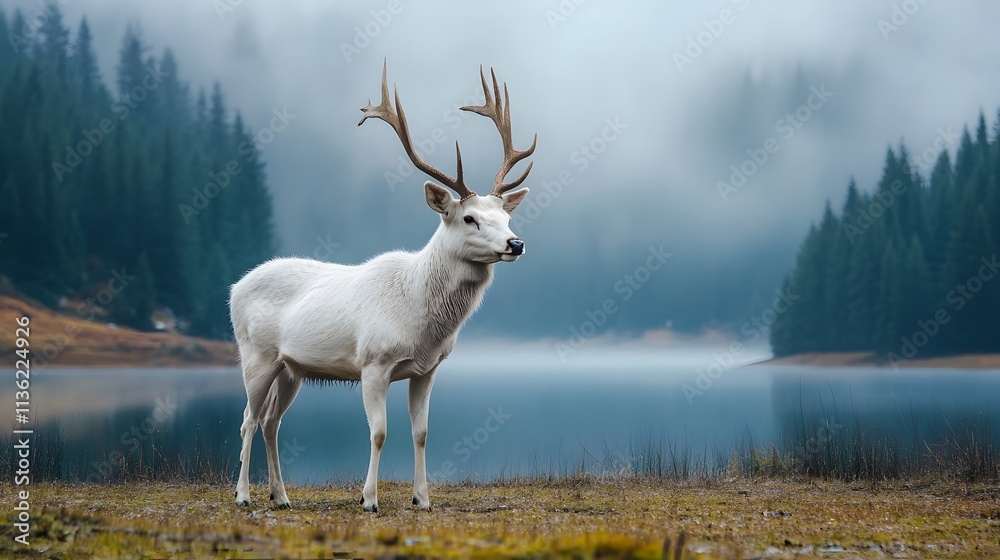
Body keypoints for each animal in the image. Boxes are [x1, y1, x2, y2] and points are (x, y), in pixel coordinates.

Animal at [229, 63, 536, 513]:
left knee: (271, 421)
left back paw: (281, 496)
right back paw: (243, 495)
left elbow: (421, 433)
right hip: (256, 355)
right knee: (248, 420)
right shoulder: (373, 362)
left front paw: (422, 499)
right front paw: (369, 499)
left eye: (505, 217)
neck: (421, 318)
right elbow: (379, 432)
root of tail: (234, 288)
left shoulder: (427, 369)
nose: (516, 243)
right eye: (469, 218)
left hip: (291, 367)